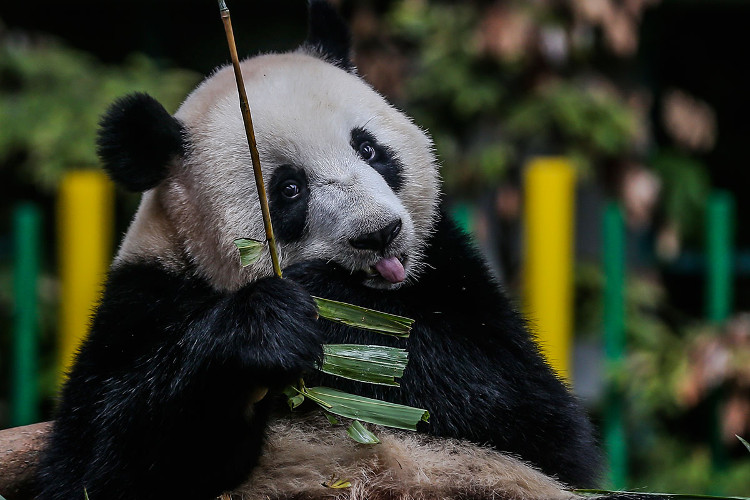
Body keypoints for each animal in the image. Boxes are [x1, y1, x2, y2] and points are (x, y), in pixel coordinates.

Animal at [35, 2, 619, 500]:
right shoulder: (146, 298)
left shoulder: (449, 266)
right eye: (289, 188)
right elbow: (93, 466)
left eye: (369, 148)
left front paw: (328, 303)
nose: (379, 234)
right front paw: (267, 327)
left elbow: (537, 420)